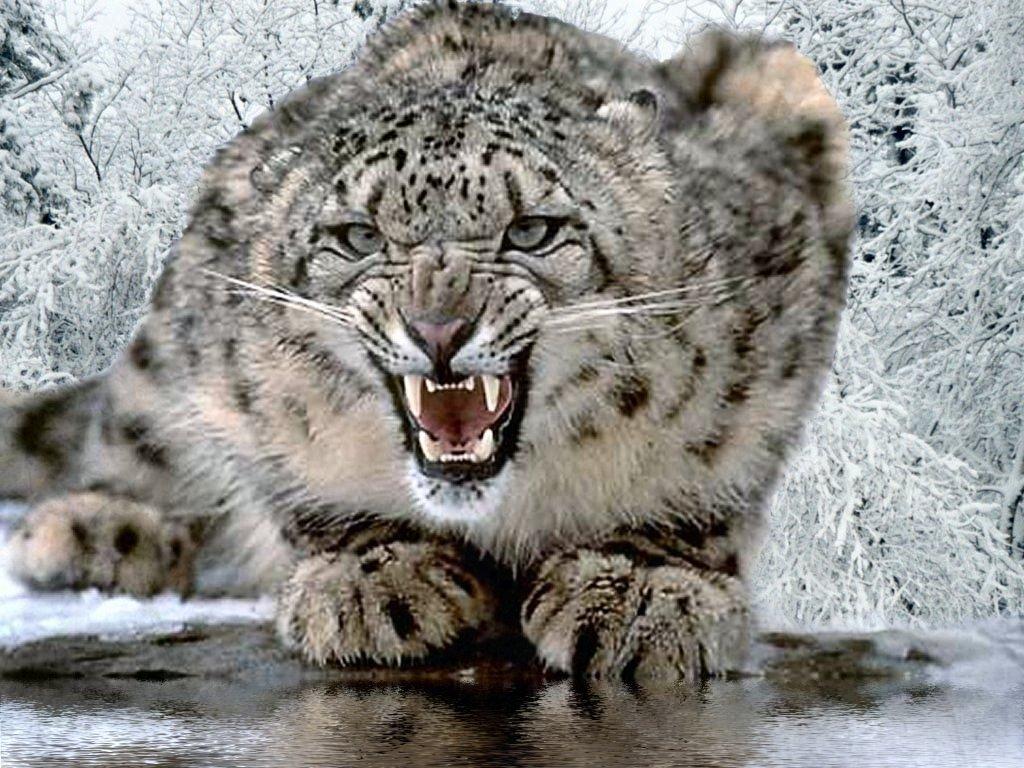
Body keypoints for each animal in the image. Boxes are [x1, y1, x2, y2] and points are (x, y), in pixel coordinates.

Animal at [0, 1, 852, 682]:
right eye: (358, 236)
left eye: (533, 229)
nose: (438, 327)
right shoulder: (233, 368)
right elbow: (289, 477)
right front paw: (374, 579)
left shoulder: (774, 331)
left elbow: (716, 469)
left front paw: (639, 587)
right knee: (133, 426)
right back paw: (100, 530)